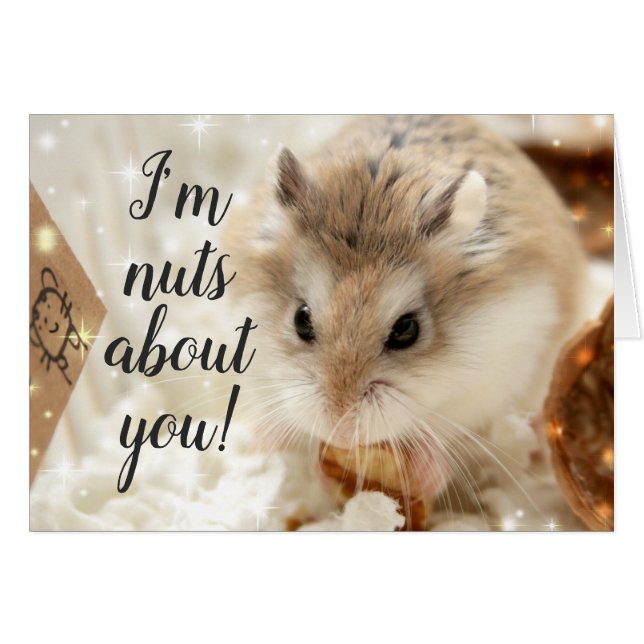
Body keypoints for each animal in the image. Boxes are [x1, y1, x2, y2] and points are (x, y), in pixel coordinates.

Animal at [223, 115, 589, 499]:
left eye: (406, 330)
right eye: (300, 319)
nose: (341, 432)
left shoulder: (502, 375)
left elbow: (447, 429)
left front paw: (425, 472)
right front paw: (295, 454)